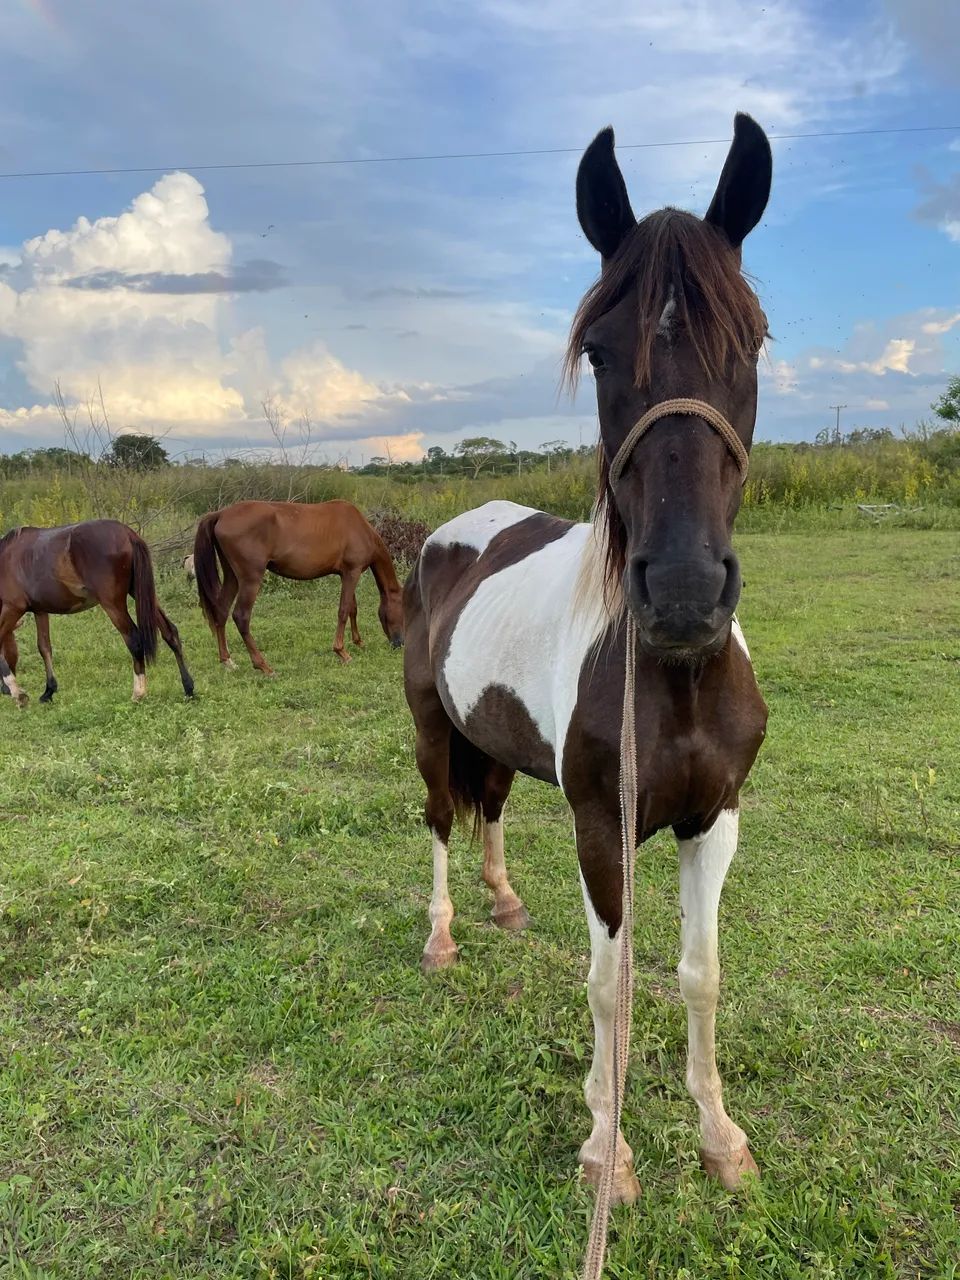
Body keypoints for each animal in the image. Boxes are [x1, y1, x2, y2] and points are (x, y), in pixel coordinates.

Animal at [0, 519, 194, 707]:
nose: (3, 691)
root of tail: (128, 533)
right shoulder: (40, 611)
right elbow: (44, 647)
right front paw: (49, 691)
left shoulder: (12, 608)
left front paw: (18, 694)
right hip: (143, 594)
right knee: (170, 632)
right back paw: (188, 688)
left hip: (113, 604)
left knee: (134, 639)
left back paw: (138, 694)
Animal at [193, 499, 405, 671]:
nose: (399, 643)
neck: (358, 527)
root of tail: (221, 514)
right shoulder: (352, 572)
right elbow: (343, 610)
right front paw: (342, 652)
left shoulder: (346, 573)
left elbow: (352, 608)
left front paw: (358, 642)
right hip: (250, 579)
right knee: (241, 616)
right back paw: (263, 666)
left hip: (232, 577)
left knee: (221, 611)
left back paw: (227, 661)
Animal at [403, 113, 772, 1216]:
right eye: (601, 353)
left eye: (751, 342)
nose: (686, 592)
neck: (677, 680)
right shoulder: (604, 827)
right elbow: (610, 983)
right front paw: (607, 1150)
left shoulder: (713, 818)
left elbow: (698, 973)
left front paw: (721, 1139)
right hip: (431, 728)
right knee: (442, 818)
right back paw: (445, 934)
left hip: (497, 743)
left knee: (487, 807)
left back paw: (505, 903)